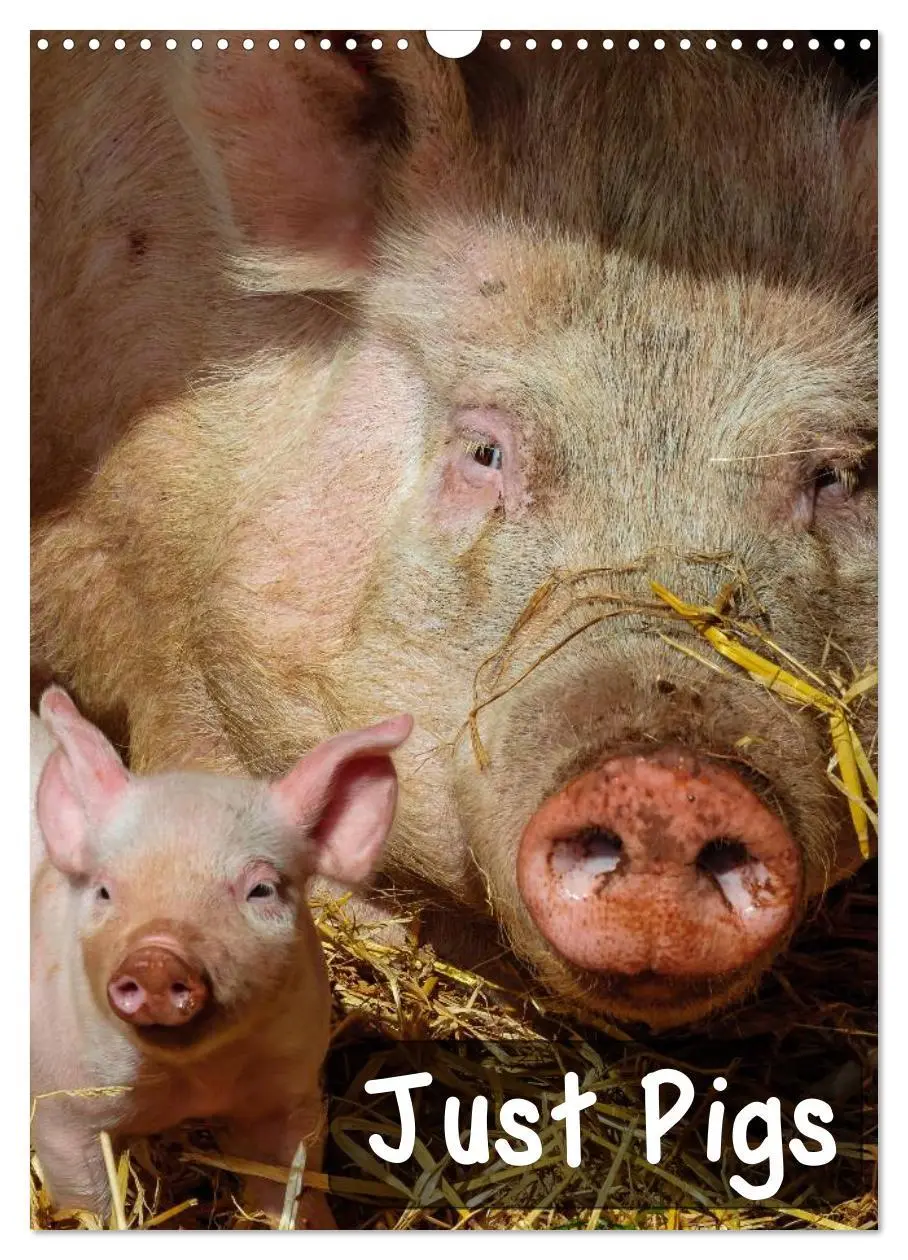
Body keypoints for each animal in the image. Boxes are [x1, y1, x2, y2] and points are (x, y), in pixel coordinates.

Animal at [30, 684, 412, 1223]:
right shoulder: (62, 1106)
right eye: (104, 890)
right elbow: (87, 1204)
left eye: (261, 889)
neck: (195, 1080)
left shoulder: (291, 1090)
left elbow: (290, 1183)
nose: (156, 958)